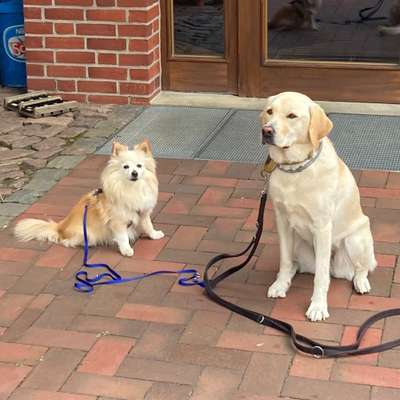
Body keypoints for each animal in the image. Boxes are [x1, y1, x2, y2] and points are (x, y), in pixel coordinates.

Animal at [14, 141, 163, 258]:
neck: (132, 188)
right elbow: (123, 237)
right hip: (87, 234)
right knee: (66, 242)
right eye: (126, 167)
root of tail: (60, 227)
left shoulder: (143, 212)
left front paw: (154, 235)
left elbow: (148, 225)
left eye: (139, 166)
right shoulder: (118, 222)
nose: (134, 173)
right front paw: (126, 250)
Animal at [260, 91, 376, 322]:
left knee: (361, 267)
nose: (266, 131)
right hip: (298, 241)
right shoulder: (282, 220)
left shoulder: (322, 227)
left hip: (355, 239)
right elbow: (285, 260)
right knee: (295, 263)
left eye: (292, 116)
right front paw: (280, 284)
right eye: (270, 111)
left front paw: (318, 306)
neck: (295, 170)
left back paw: (361, 282)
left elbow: (321, 278)